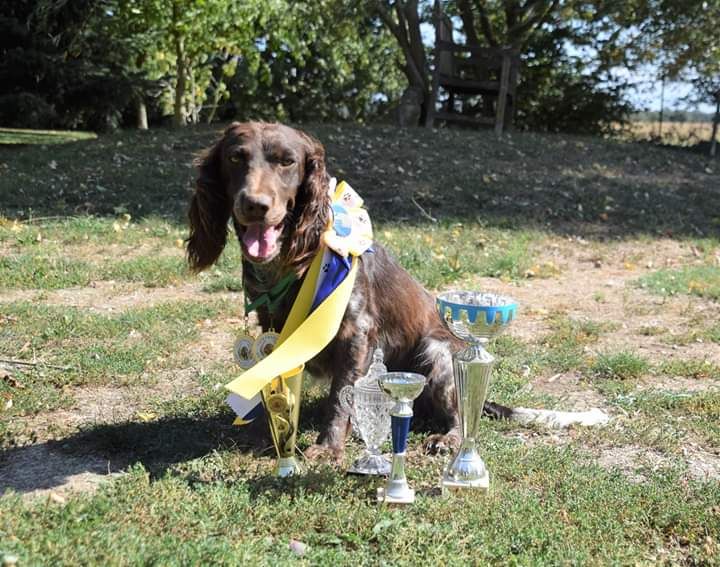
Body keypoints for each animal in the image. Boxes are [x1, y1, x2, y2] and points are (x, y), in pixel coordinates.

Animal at [186, 121, 512, 462]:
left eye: (287, 161)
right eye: (235, 158)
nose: (255, 205)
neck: (293, 261)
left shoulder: (356, 331)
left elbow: (340, 397)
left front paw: (328, 447)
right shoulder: (273, 331)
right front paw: (274, 434)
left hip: (437, 352)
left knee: (459, 411)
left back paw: (447, 438)